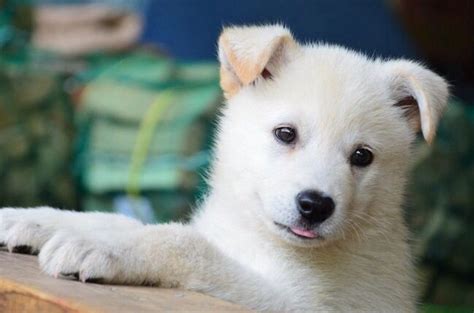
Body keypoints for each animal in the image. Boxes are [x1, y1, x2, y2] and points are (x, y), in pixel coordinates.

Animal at [0, 25, 448, 312]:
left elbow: (181, 242)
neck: (257, 234)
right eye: (286, 134)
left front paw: (100, 248)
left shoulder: (299, 302)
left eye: (362, 156)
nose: (316, 206)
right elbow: (119, 219)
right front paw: (32, 220)